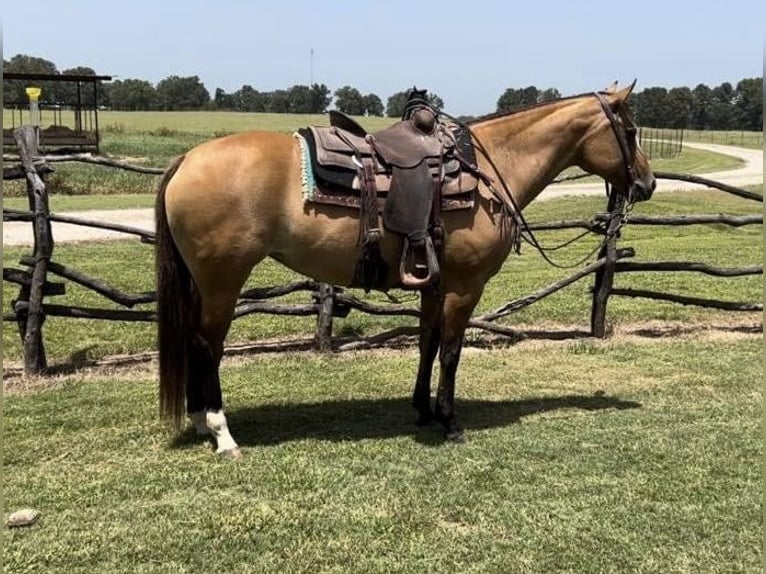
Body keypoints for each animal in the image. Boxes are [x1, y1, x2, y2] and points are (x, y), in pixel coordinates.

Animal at [158, 81, 660, 460]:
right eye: (631, 130)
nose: (648, 183)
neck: (488, 170)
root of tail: (186, 159)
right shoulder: (464, 288)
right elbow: (452, 352)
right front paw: (450, 420)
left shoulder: (434, 286)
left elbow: (427, 344)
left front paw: (423, 410)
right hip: (223, 281)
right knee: (207, 345)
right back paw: (221, 433)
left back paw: (201, 422)